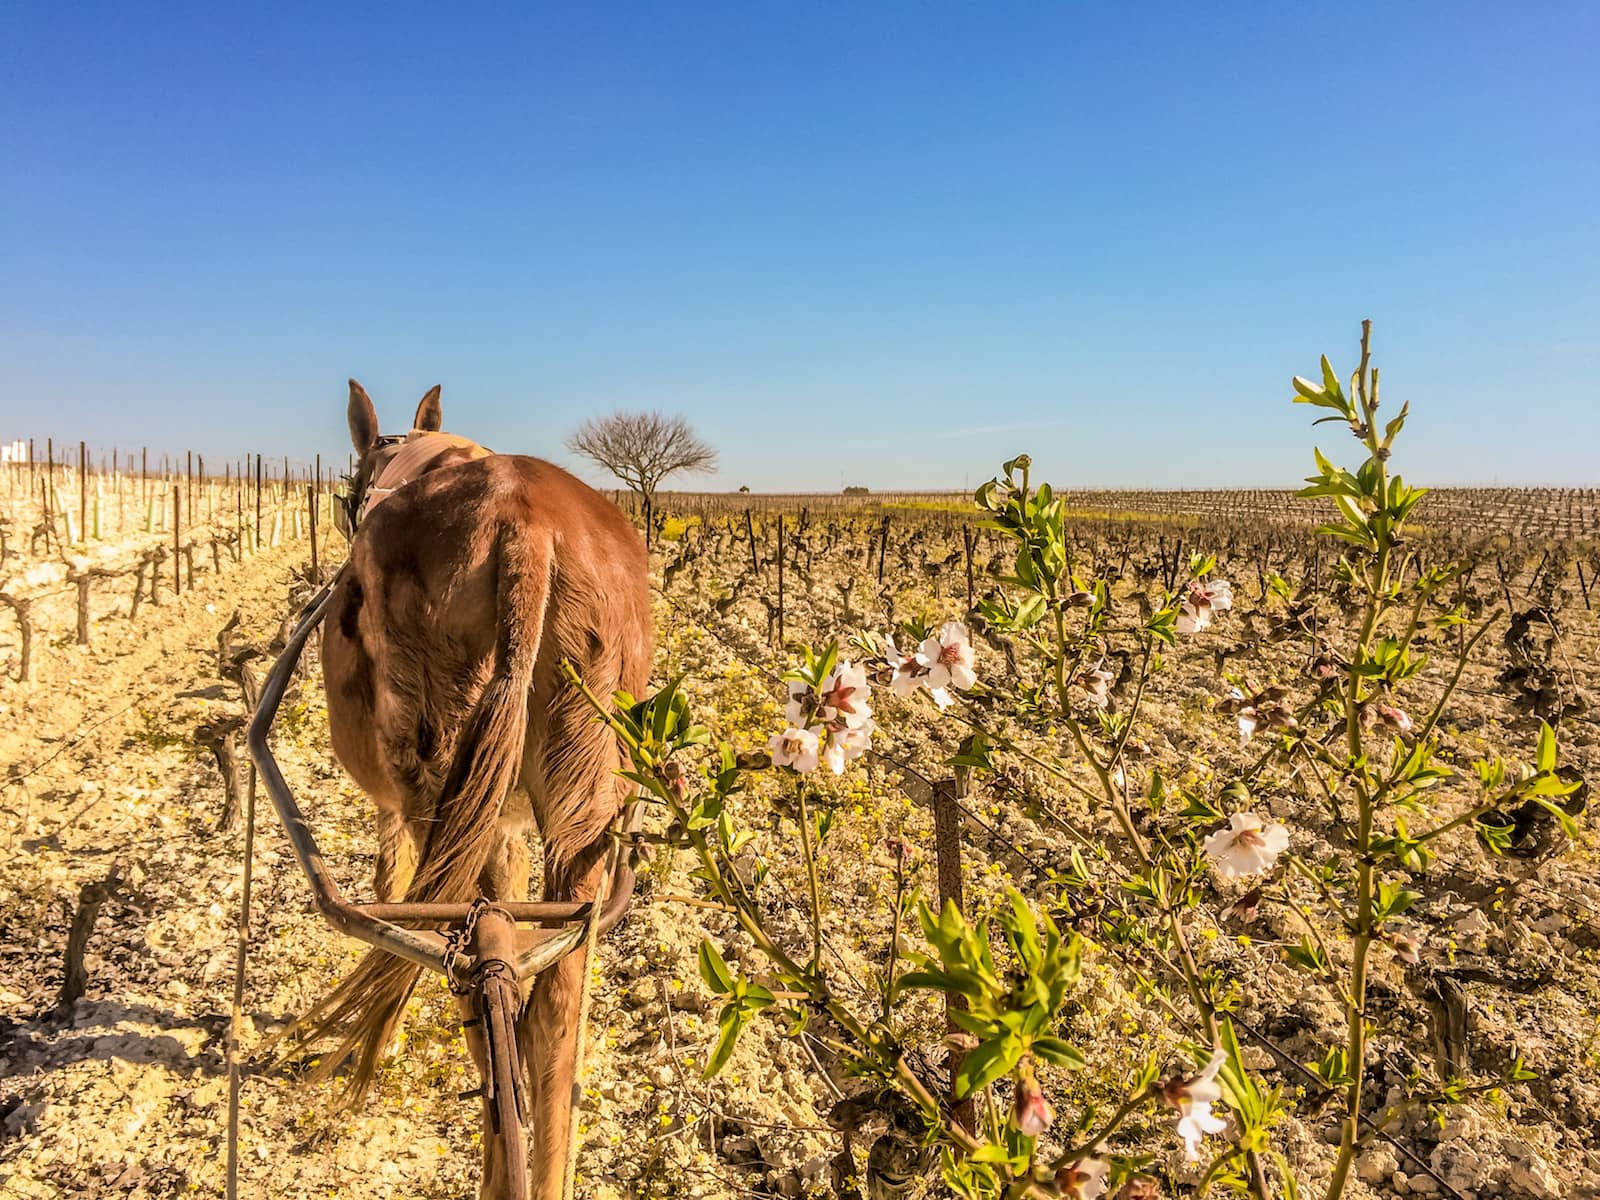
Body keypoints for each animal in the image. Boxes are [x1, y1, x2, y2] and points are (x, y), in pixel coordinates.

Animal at [294, 380, 649, 1196]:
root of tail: (529, 530)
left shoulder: (399, 809)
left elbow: (392, 889)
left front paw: (388, 1034)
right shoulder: (514, 825)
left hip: (436, 778)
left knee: (467, 958)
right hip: (584, 792)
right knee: (550, 998)